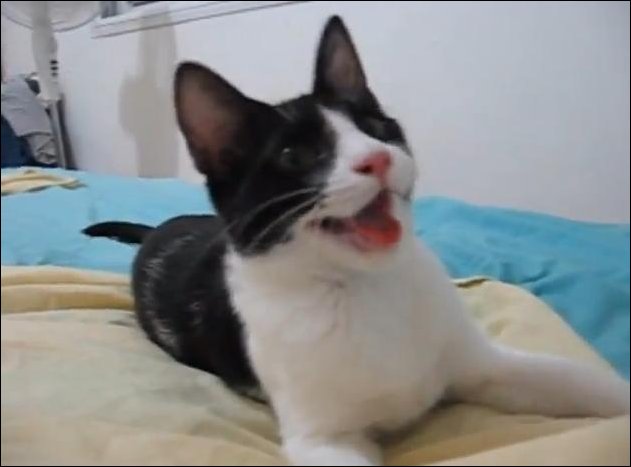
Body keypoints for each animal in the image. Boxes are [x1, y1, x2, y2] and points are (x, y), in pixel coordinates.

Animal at [84, 16, 629, 466]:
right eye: (296, 155)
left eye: (376, 128)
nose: (378, 157)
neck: (367, 288)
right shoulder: (322, 437)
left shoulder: (486, 366)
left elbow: (573, 378)